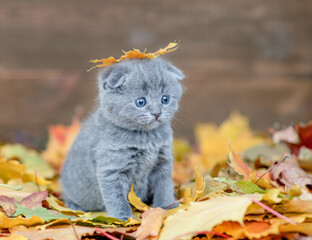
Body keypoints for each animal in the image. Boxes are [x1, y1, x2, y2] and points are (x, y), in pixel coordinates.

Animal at [60, 57, 184, 220]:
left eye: (165, 99)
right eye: (140, 102)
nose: (157, 113)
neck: (146, 138)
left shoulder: (162, 161)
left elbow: (164, 186)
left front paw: (167, 207)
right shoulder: (112, 168)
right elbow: (116, 198)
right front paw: (124, 219)